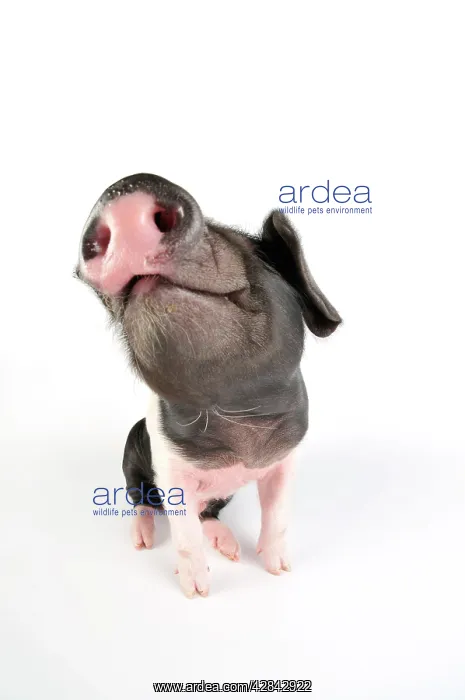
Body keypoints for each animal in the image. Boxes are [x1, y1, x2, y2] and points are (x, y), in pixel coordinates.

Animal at [76, 173, 341, 598]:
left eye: (247, 247)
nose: (126, 186)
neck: (233, 411)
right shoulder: (169, 467)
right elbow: (184, 531)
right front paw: (197, 591)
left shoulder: (286, 457)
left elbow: (278, 512)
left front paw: (279, 570)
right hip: (132, 452)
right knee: (142, 500)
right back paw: (143, 539)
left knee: (208, 513)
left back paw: (229, 547)